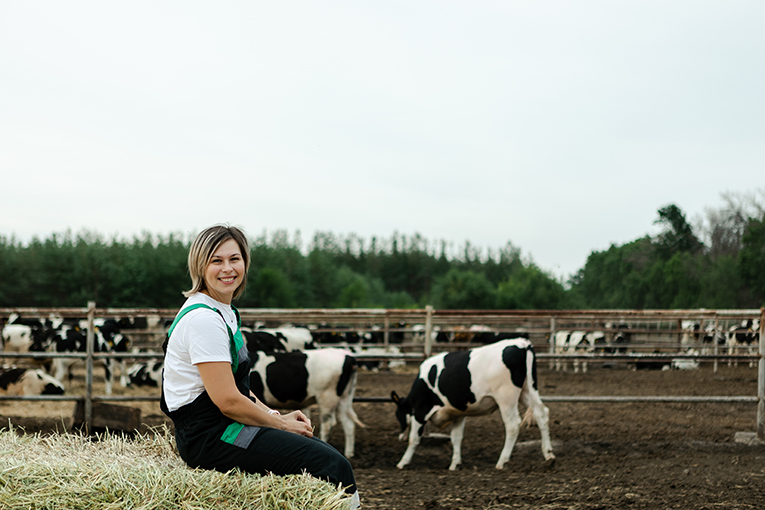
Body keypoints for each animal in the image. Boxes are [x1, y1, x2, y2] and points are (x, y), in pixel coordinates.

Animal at [390, 338, 552, 470]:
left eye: (398, 414)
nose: (399, 436)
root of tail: (522, 343)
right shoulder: (458, 413)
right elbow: (456, 437)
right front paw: (455, 464)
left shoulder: (420, 411)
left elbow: (413, 439)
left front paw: (402, 462)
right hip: (528, 390)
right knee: (541, 414)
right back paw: (549, 455)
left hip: (506, 398)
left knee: (512, 425)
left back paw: (502, 461)